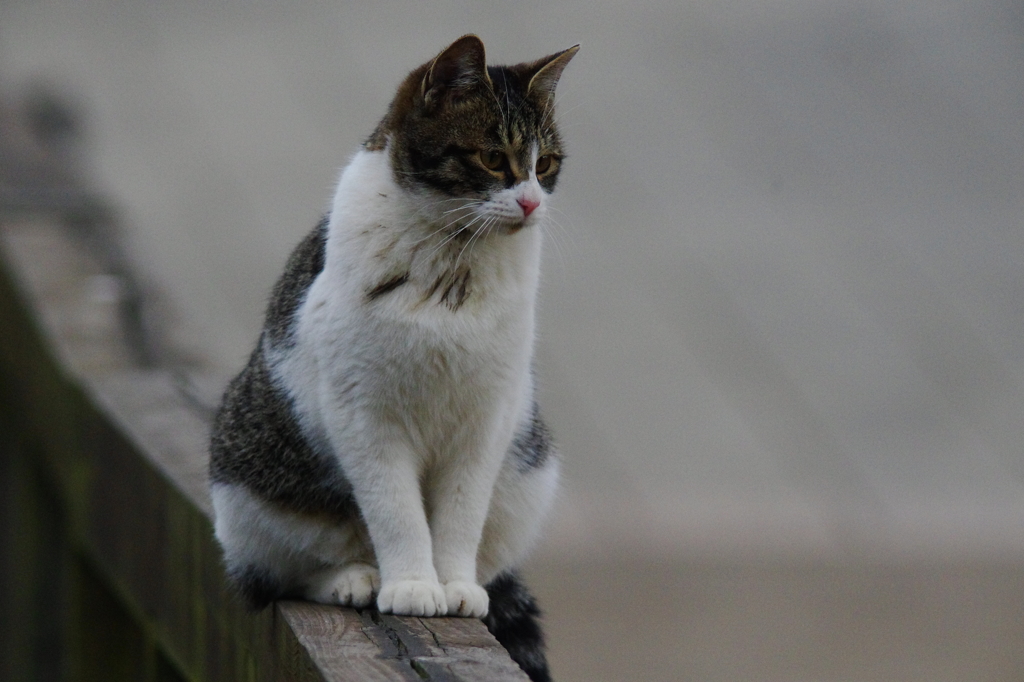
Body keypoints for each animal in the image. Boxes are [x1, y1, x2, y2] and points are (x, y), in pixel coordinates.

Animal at [207, 33, 577, 679]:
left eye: (546, 164)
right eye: (493, 159)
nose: (532, 203)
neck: (453, 260)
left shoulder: (488, 416)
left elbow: (460, 512)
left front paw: (453, 586)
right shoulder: (365, 413)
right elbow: (397, 510)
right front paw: (412, 585)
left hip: (529, 473)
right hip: (247, 490)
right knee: (274, 576)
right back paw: (356, 578)